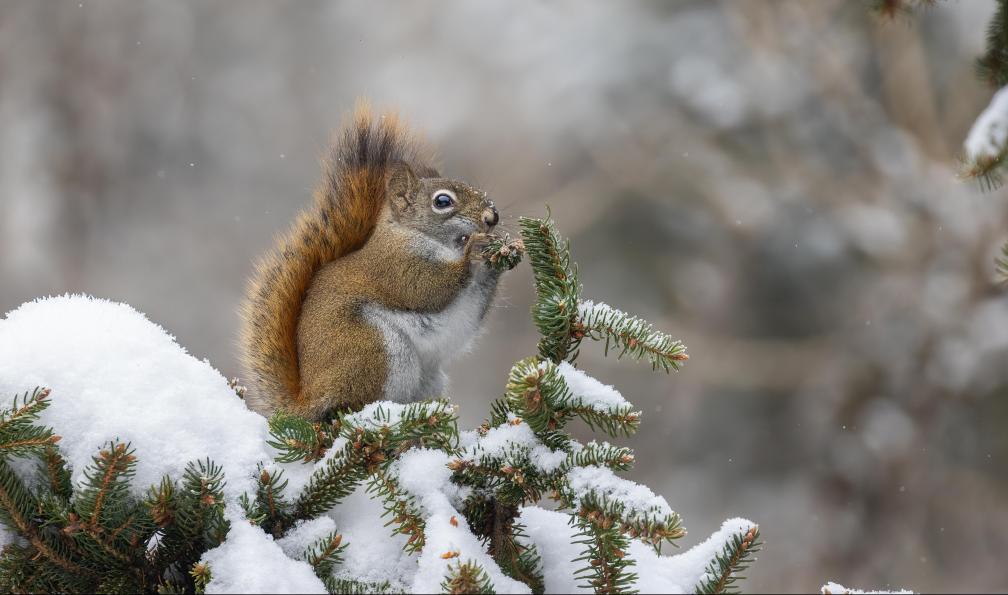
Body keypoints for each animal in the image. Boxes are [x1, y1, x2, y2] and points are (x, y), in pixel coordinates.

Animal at [239, 104, 512, 421]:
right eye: (442, 201)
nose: (492, 217)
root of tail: (308, 399)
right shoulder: (395, 268)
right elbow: (427, 289)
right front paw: (474, 251)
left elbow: (476, 307)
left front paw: (501, 252)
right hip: (373, 349)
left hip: (426, 377)